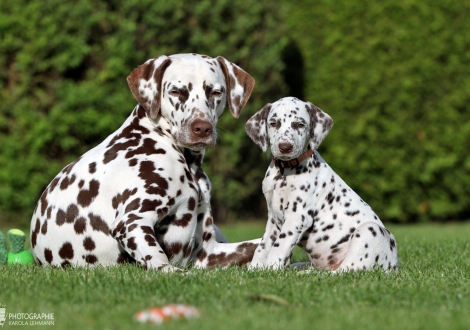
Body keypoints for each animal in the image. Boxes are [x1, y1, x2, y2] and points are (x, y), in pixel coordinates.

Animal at [31, 53, 258, 270]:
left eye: (216, 92)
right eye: (177, 91)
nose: (202, 128)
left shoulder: (208, 253)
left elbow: (256, 245)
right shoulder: (132, 221)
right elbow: (158, 257)